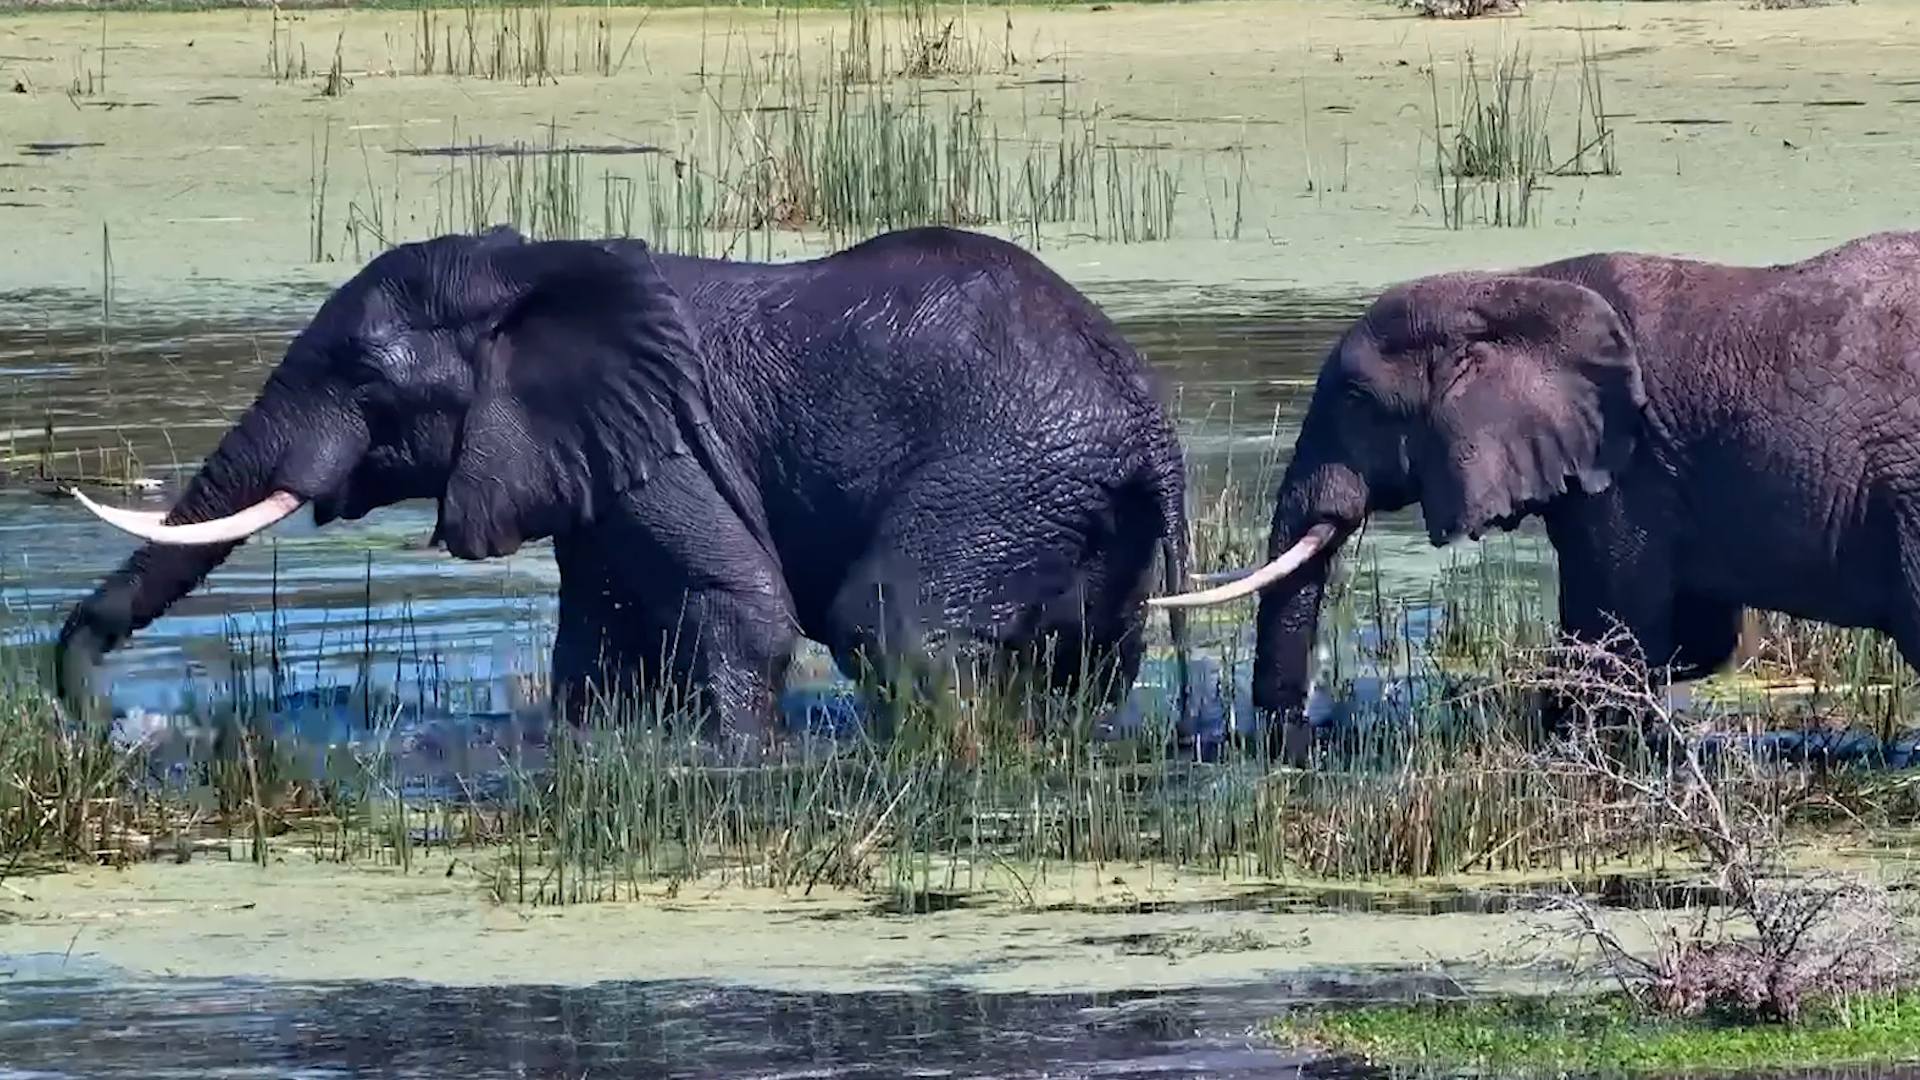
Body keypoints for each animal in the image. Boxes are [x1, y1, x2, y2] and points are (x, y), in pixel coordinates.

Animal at [58, 224, 1193, 746]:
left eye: (364, 377)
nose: (97, 709)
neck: (527, 272)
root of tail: (1144, 409)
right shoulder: (583, 462)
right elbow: (595, 648)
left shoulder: (670, 448)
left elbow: (744, 608)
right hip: (1080, 505)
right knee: (1091, 655)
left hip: (1006, 468)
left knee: (890, 625)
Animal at [1151, 230, 1920, 752]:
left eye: (1356, 400)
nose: (1295, 727)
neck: (1510, 287)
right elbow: (1690, 634)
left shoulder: (1631, 467)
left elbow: (1613, 627)